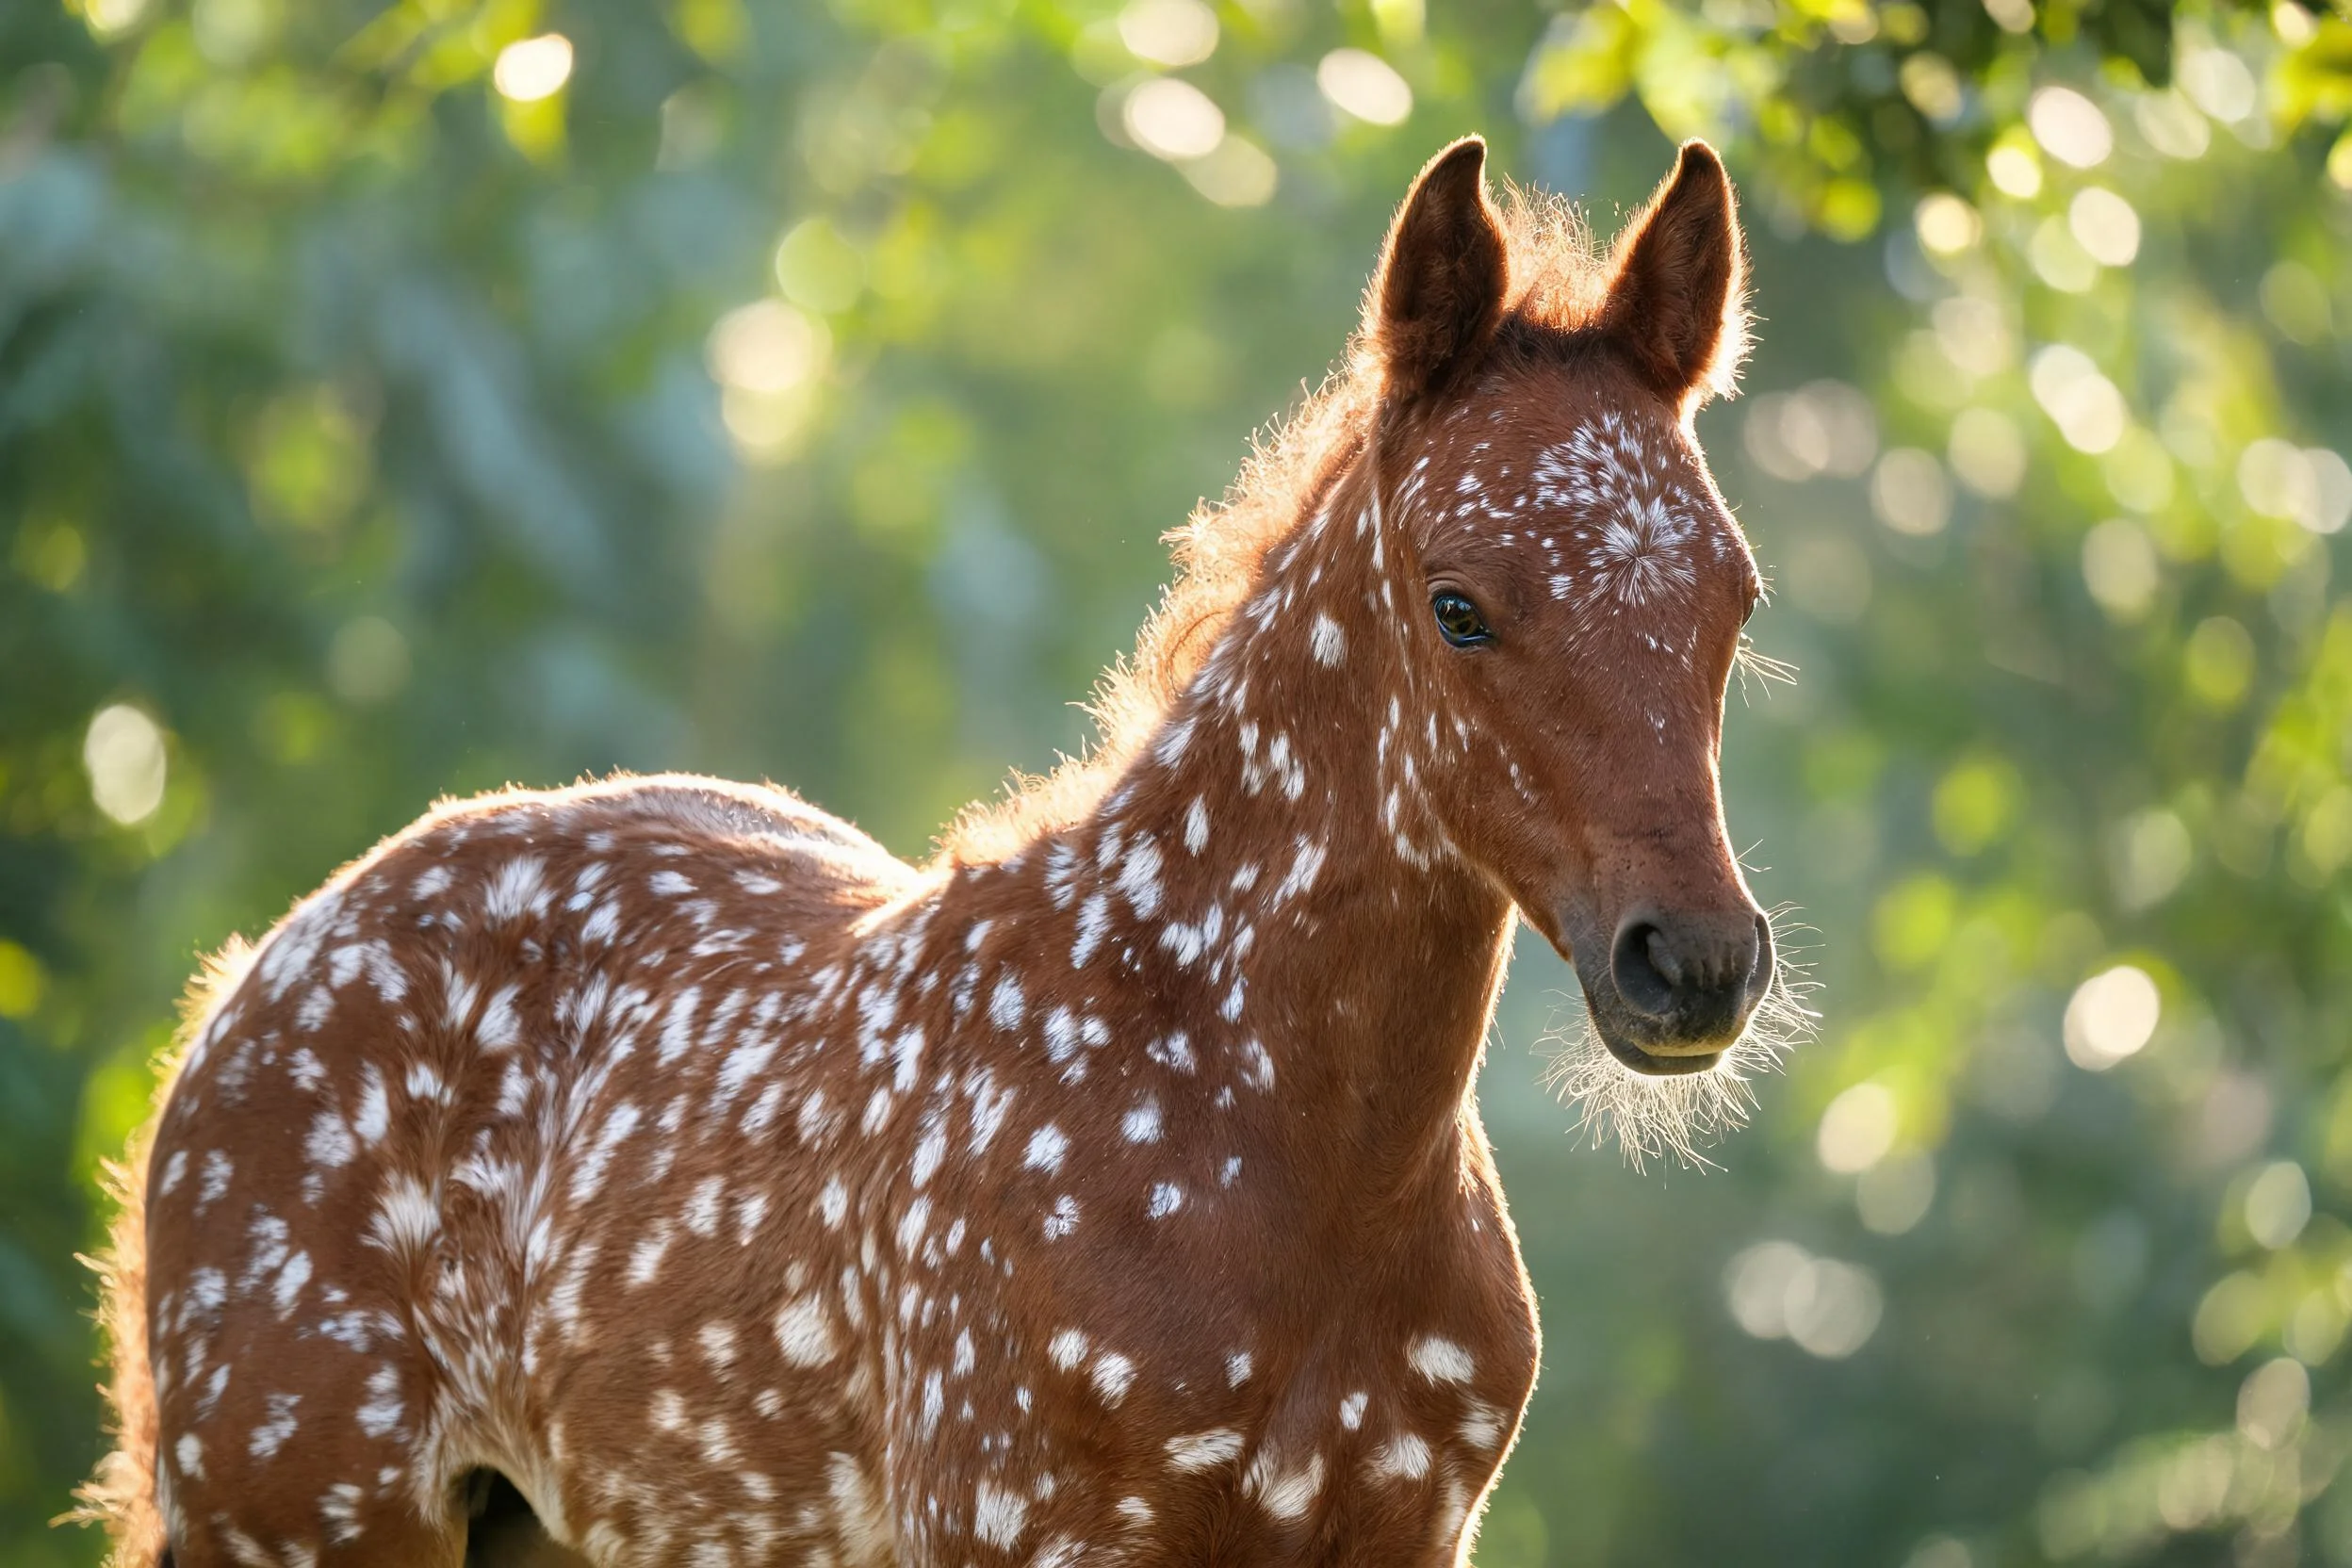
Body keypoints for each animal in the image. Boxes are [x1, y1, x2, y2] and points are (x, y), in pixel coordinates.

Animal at [80, 134, 1784, 1567]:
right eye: (1458, 604)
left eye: (1733, 593)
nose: (1692, 964)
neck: (1279, 1141)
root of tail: (242, 988)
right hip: (309, 1523)